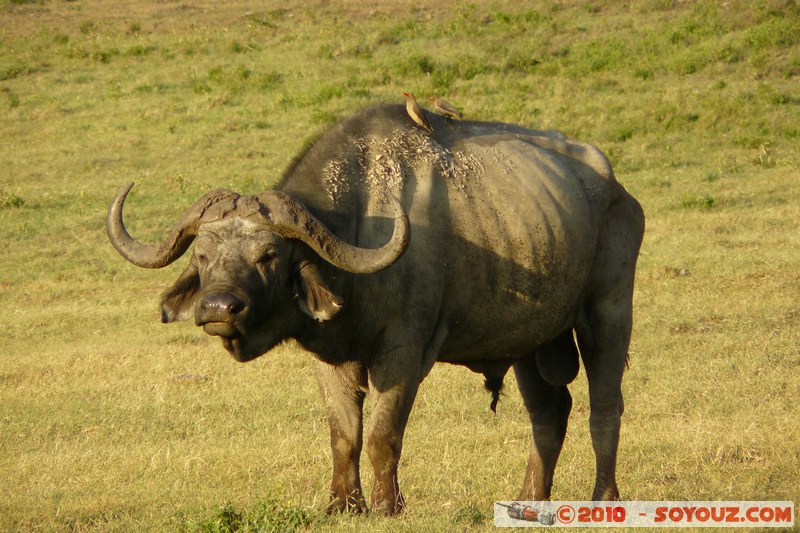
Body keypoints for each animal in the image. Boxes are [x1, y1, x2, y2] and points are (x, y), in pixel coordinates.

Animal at [106, 102, 644, 512]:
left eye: (269, 255)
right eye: (202, 255)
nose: (219, 307)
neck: (361, 227)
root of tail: (616, 189)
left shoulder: (403, 352)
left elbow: (384, 434)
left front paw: (388, 505)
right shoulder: (330, 357)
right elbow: (344, 434)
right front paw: (343, 504)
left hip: (608, 312)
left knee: (604, 405)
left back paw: (604, 498)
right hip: (530, 342)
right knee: (549, 412)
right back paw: (529, 500)